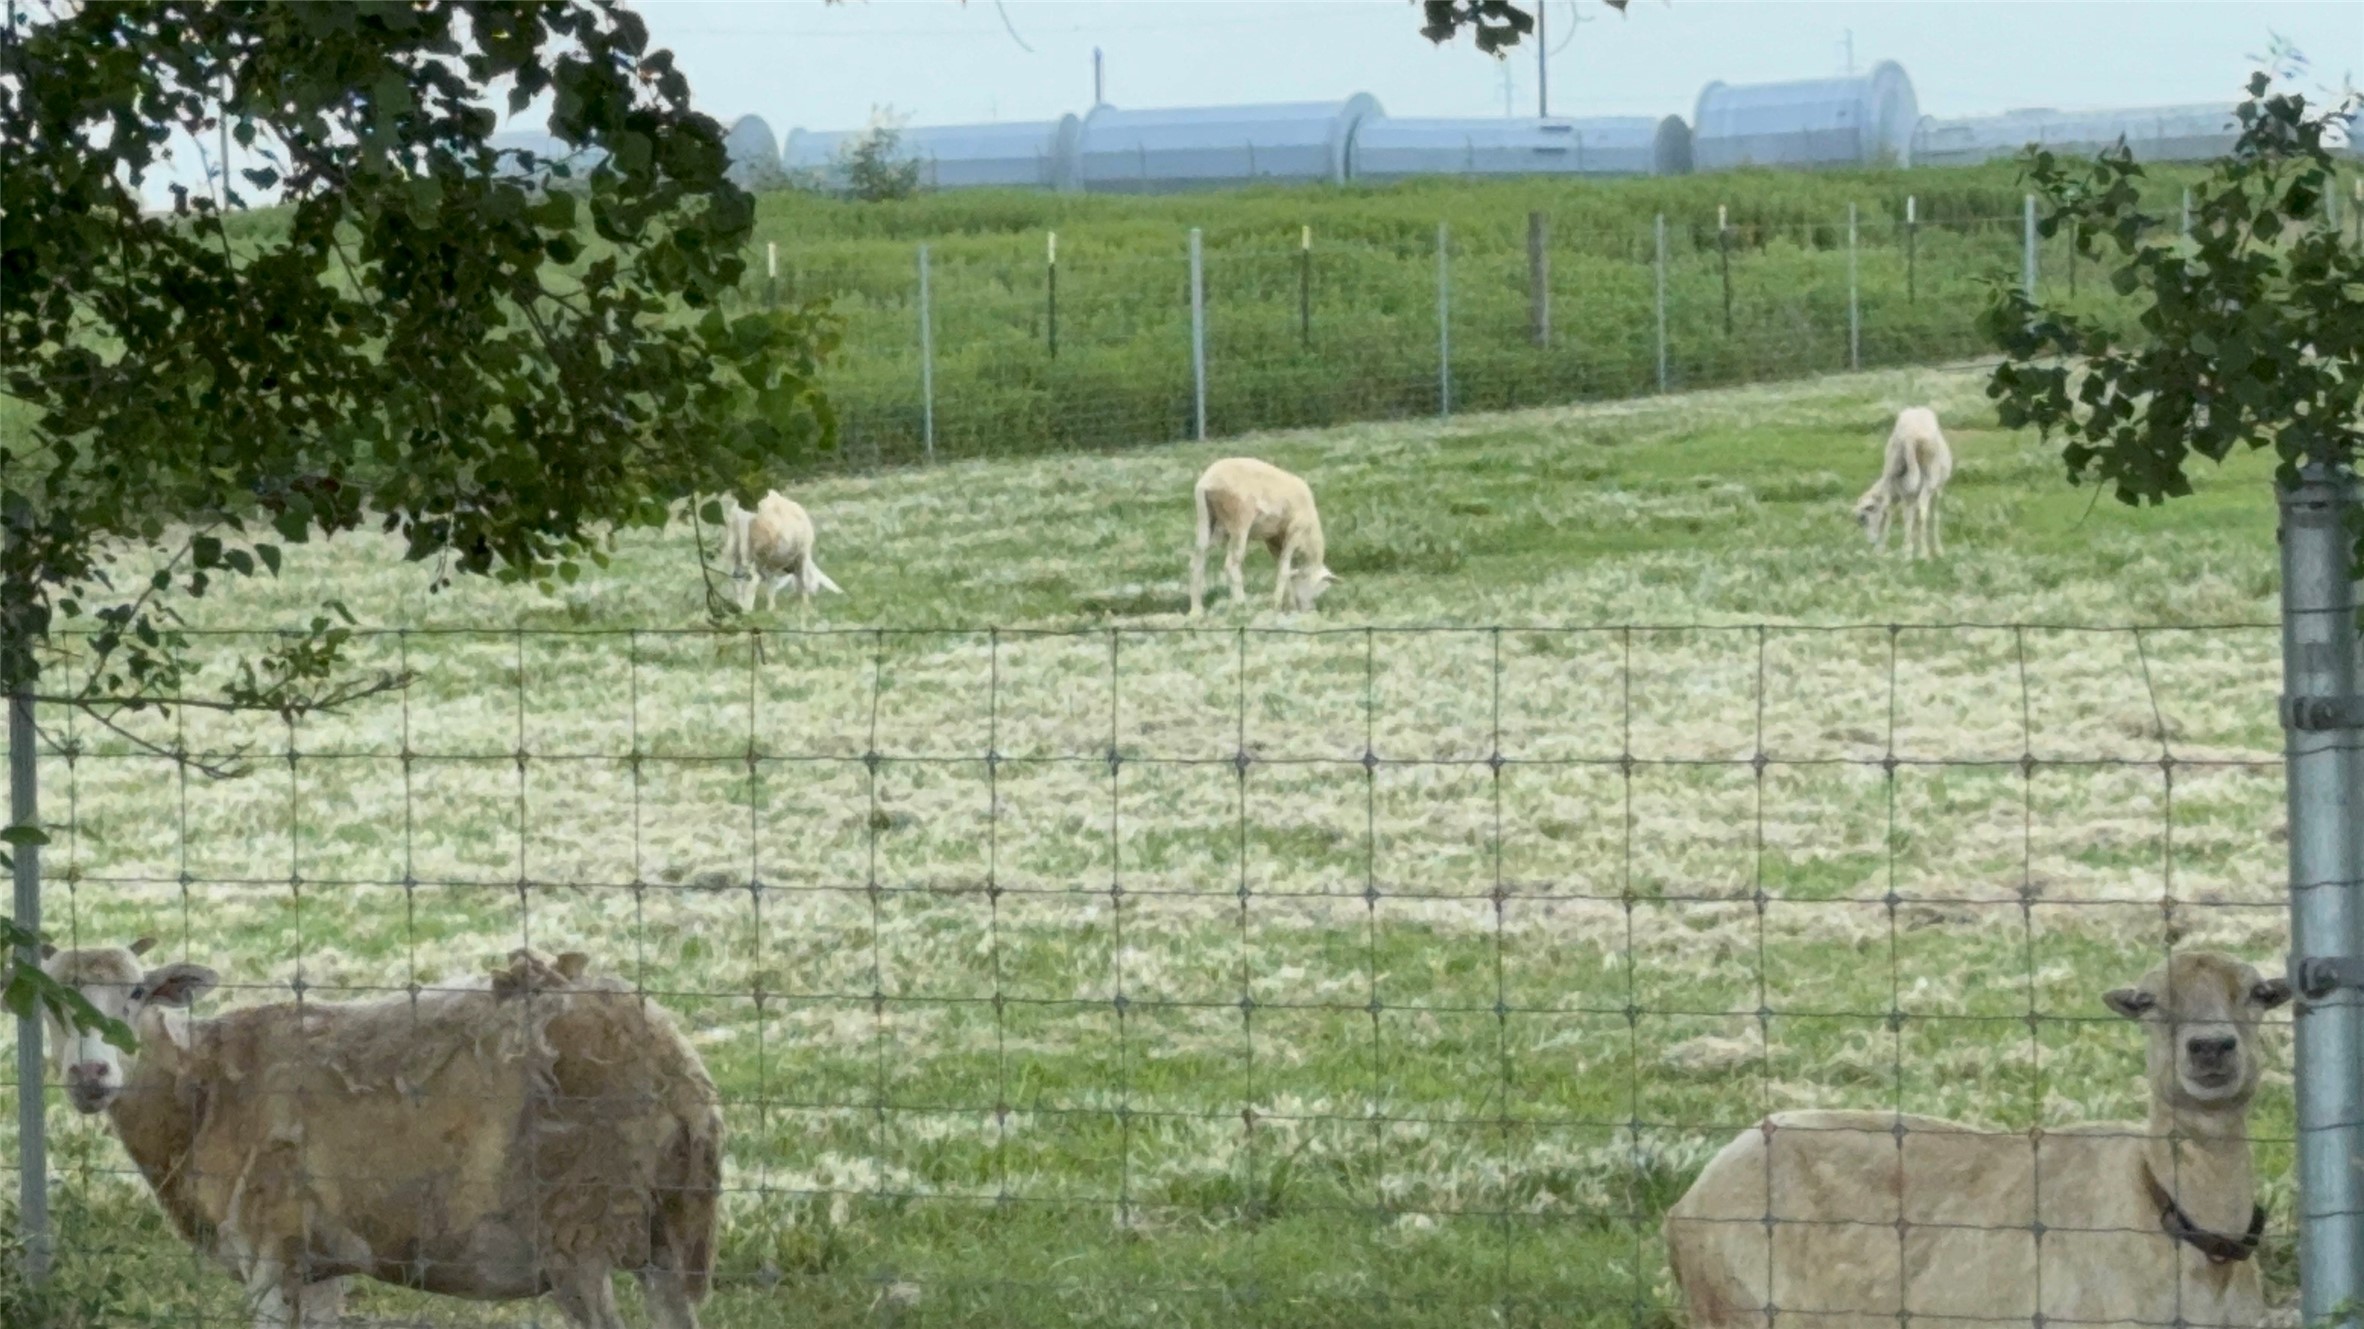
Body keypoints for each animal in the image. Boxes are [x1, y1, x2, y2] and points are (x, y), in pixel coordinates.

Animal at [39, 939, 724, 1329]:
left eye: (135, 993)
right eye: (47, 1001)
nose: (89, 1074)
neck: (200, 1088)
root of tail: (676, 1067)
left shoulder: (269, 1250)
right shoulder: (320, 1267)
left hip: (578, 1228)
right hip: (671, 1229)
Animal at [1187, 457, 1339, 616]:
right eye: (1318, 588)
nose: (1309, 610)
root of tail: (1207, 481)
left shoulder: (1272, 539)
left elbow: (1282, 568)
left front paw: (1288, 604)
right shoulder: (1294, 531)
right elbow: (1285, 570)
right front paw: (1277, 604)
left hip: (1209, 523)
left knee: (1196, 561)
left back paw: (1196, 610)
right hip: (1239, 521)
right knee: (1231, 564)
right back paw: (1241, 604)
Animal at [1851, 406, 1954, 559]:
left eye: (1863, 518)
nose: (1871, 542)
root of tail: (1911, 435)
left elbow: (1893, 514)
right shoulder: (1934, 489)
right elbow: (1930, 516)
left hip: (1896, 466)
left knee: (1910, 513)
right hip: (1929, 477)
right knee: (1921, 510)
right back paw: (1922, 552)